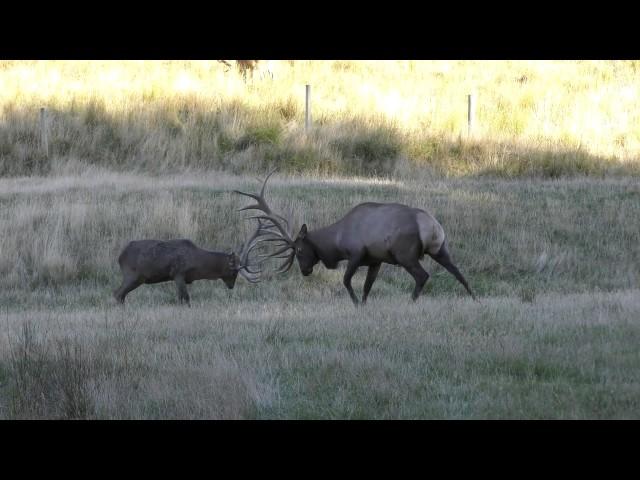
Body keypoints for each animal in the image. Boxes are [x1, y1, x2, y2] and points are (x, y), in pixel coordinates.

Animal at [113, 223, 264, 306]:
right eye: (234, 272)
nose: (231, 286)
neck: (196, 264)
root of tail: (120, 257)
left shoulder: (180, 277)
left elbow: (181, 298)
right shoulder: (178, 273)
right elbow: (185, 298)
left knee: (120, 294)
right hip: (132, 274)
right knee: (118, 293)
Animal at [235, 171, 476, 306]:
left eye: (300, 250)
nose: (305, 271)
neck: (337, 241)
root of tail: (430, 225)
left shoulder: (356, 253)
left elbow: (346, 281)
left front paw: (356, 303)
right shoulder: (376, 261)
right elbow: (368, 287)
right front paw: (364, 304)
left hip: (405, 254)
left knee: (423, 276)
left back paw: (411, 301)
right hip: (439, 248)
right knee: (458, 271)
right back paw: (474, 297)